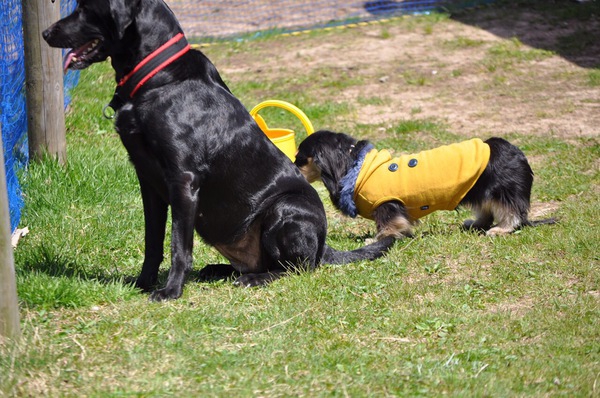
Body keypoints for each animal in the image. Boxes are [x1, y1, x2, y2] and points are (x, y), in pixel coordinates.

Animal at [42, 0, 394, 298]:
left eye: (84, 7)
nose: (46, 33)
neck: (159, 77)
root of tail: (323, 246)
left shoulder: (183, 178)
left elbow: (178, 245)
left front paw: (171, 291)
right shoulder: (148, 181)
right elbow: (153, 241)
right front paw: (142, 284)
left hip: (285, 208)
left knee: (297, 268)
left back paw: (253, 279)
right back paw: (218, 270)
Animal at [296, 131, 556, 239]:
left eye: (300, 158)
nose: (291, 167)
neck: (356, 166)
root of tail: (519, 155)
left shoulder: (387, 206)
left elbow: (389, 225)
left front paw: (377, 239)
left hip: (500, 191)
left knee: (512, 213)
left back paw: (501, 229)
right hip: (482, 191)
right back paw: (475, 223)